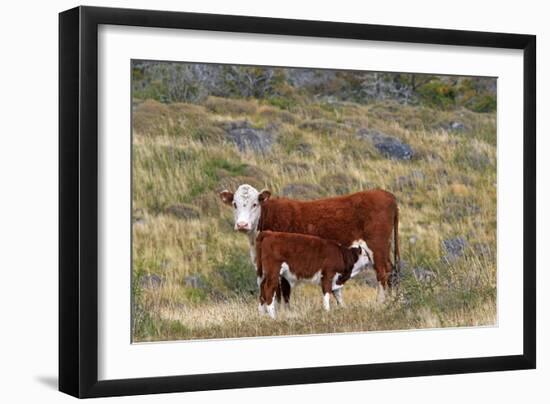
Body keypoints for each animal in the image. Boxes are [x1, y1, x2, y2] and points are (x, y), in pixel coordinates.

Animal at [220, 183, 402, 304]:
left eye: (254, 204)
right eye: (235, 204)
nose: (242, 225)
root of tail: (386, 194)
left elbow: (282, 293)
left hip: (377, 247)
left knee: (383, 272)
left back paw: (380, 305)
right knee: (392, 272)